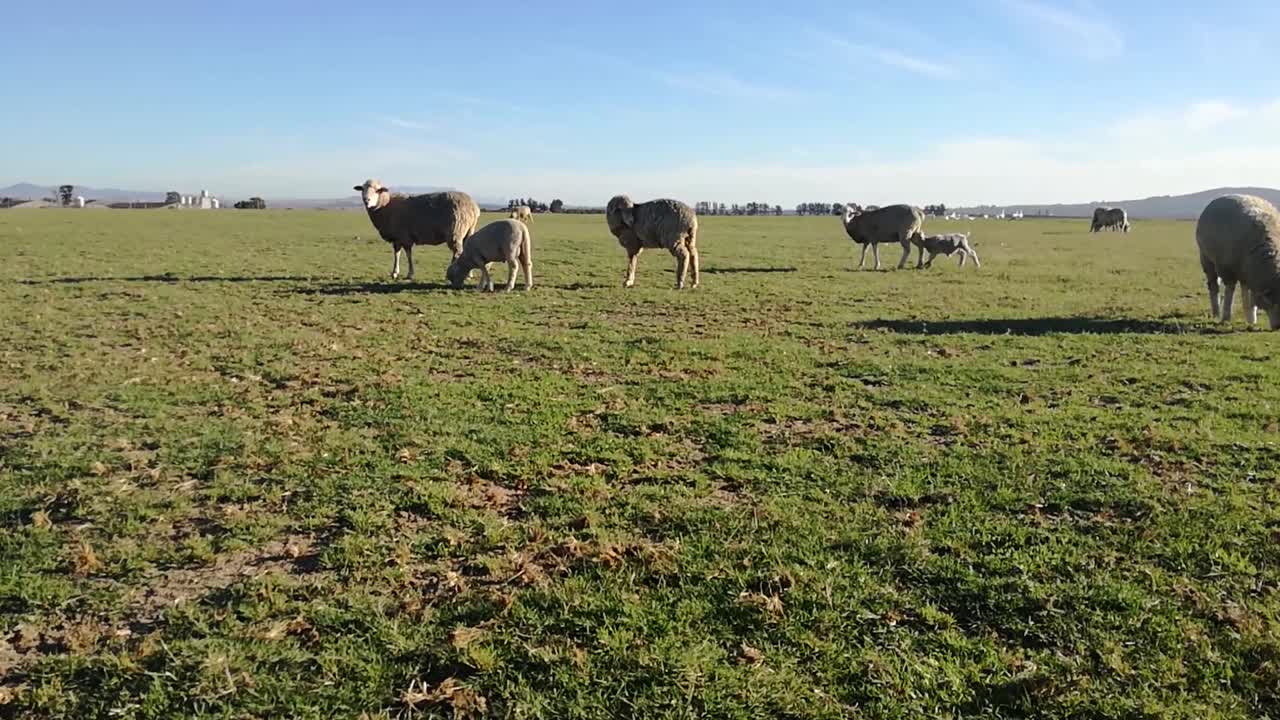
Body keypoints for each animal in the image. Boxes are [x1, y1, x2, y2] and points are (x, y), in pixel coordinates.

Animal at [352, 179, 480, 281]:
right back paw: (469, 274)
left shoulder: (404, 236)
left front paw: (409, 274)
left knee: (457, 252)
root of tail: (474, 207)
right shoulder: (397, 238)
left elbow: (408, 254)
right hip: (468, 230)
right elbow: (397, 253)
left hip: (455, 231)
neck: (386, 207)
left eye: (377, 190)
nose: (366, 200)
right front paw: (394, 273)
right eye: (362, 189)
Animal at [1195, 194, 1280, 329]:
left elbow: (1250, 296)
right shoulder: (1227, 269)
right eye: (1270, 299)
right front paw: (1226, 317)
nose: (1278, 326)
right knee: (1214, 285)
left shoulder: (1251, 272)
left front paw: (1251, 318)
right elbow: (1230, 291)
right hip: (1206, 258)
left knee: (1244, 288)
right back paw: (1216, 312)